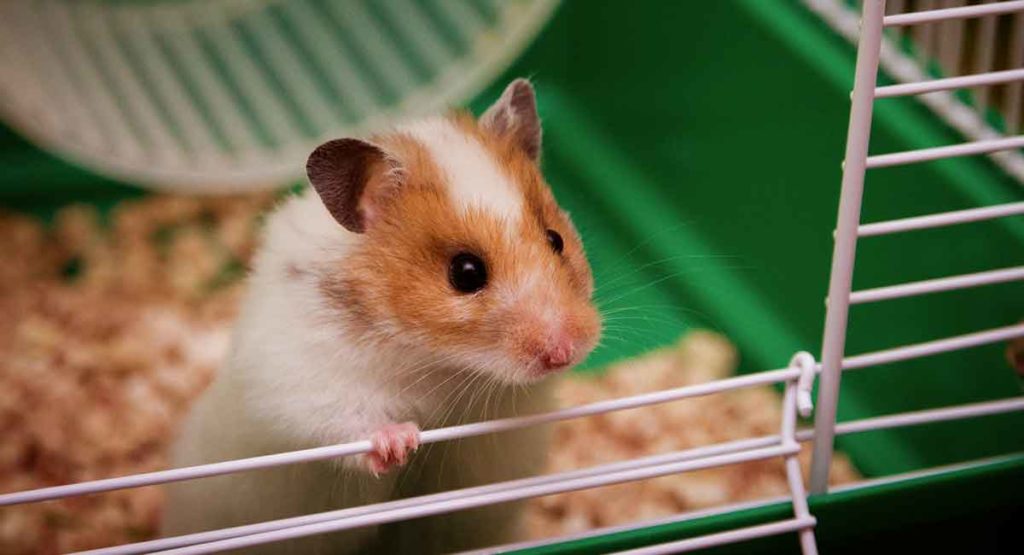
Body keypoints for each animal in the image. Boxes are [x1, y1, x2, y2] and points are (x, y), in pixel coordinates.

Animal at [161, 79, 602, 554]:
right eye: (466, 273)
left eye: (556, 239)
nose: (563, 353)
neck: (432, 359)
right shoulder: (303, 382)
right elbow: (345, 421)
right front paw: (401, 443)